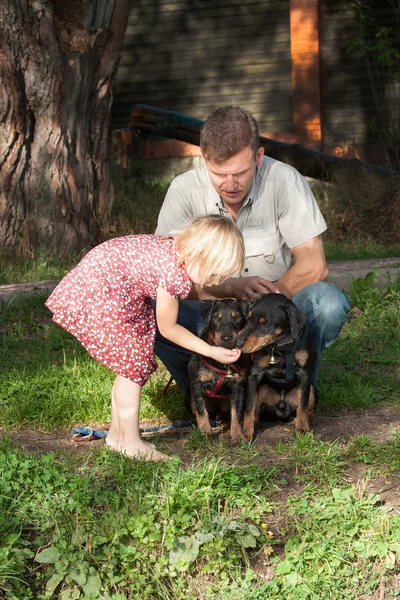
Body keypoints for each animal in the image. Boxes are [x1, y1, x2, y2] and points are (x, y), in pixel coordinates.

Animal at [187, 298, 250, 440]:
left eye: (237, 317)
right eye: (216, 317)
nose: (226, 338)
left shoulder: (239, 387)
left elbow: (237, 413)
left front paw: (238, 436)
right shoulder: (196, 383)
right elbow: (201, 410)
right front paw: (205, 432)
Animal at [236, 294, 318, 440]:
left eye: (265, 323)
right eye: (248, 318)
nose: (237, 343)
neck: (281, 346)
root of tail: (282, 405)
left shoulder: (304, 373)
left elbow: (302, 403)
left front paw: (302, 428)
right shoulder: (254, 375)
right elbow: (249, 406)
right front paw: (246, 433)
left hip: (313, 389)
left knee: (306, 406)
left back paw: (309, 417)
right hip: (262, 388)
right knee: (256, 408)